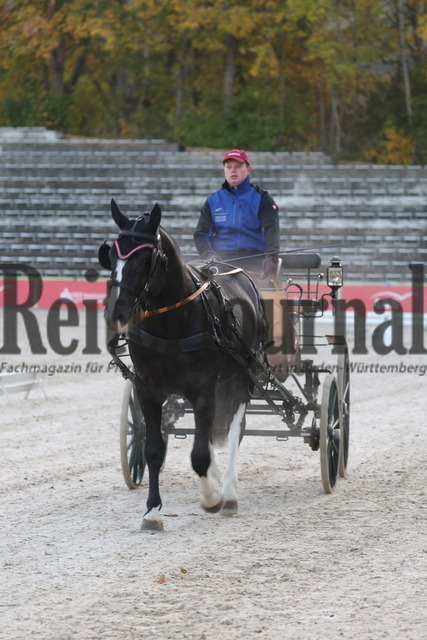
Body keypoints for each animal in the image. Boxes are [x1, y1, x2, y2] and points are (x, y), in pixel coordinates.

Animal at [100, 200, 268, 528]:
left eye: (145, 259)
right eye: (110, 255)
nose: (116, 312)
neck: (170, 323)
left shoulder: (203, 388)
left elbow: (200, 454)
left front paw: (211, 498)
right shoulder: (146, 389)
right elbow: (154, 449)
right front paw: (152, 511)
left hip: (242, 376)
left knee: (234, 428)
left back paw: (227, 493)